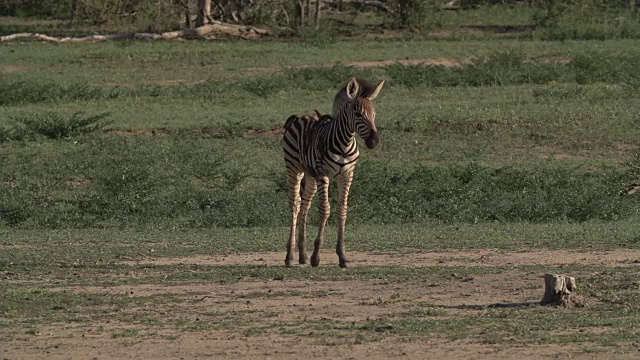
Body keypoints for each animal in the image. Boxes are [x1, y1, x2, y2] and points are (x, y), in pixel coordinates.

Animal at [282, 77, 382, 268]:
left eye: (374, 114)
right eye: (358, 114)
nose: (374, 141)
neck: (344, 144)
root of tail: (302, 116)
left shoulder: (347, 175)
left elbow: (342, 210)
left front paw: (342, 256)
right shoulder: (324, 174)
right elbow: (325, 209)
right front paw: (316, 257)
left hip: (310, 175)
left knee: (305, 205)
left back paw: (302, 255)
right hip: (294, 168)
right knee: (295, 204)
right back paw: (290, 256)